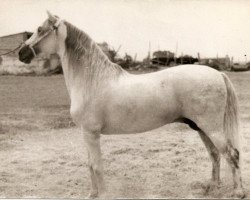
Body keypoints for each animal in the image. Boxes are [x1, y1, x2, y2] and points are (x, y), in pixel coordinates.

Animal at [18, 12, 245, 198]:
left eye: (39, 30)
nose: (21, 53)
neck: (92, 80)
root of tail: (218, 73)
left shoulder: (91, 134)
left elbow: (97, 166)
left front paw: (102, 195)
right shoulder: (85, 133)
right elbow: (90, 165)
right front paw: (92, 194)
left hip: (211, 128)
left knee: (231, 154)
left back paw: (238, 192)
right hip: (200, 127)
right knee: (215, 154)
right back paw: (212, 187)